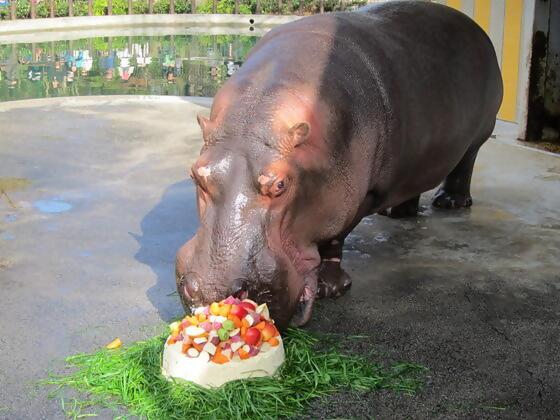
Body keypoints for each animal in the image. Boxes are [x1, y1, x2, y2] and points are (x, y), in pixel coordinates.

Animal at [174, 0, 504, 328]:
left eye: (281, 184)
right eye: (195, 175)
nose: (213, 291)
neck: (259, 109)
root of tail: (473, 27)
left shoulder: (358, 196)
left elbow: (334, 239)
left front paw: (329, 289)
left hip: (478, 135)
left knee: (464, 165)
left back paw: (449, 203)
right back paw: (396, 213)